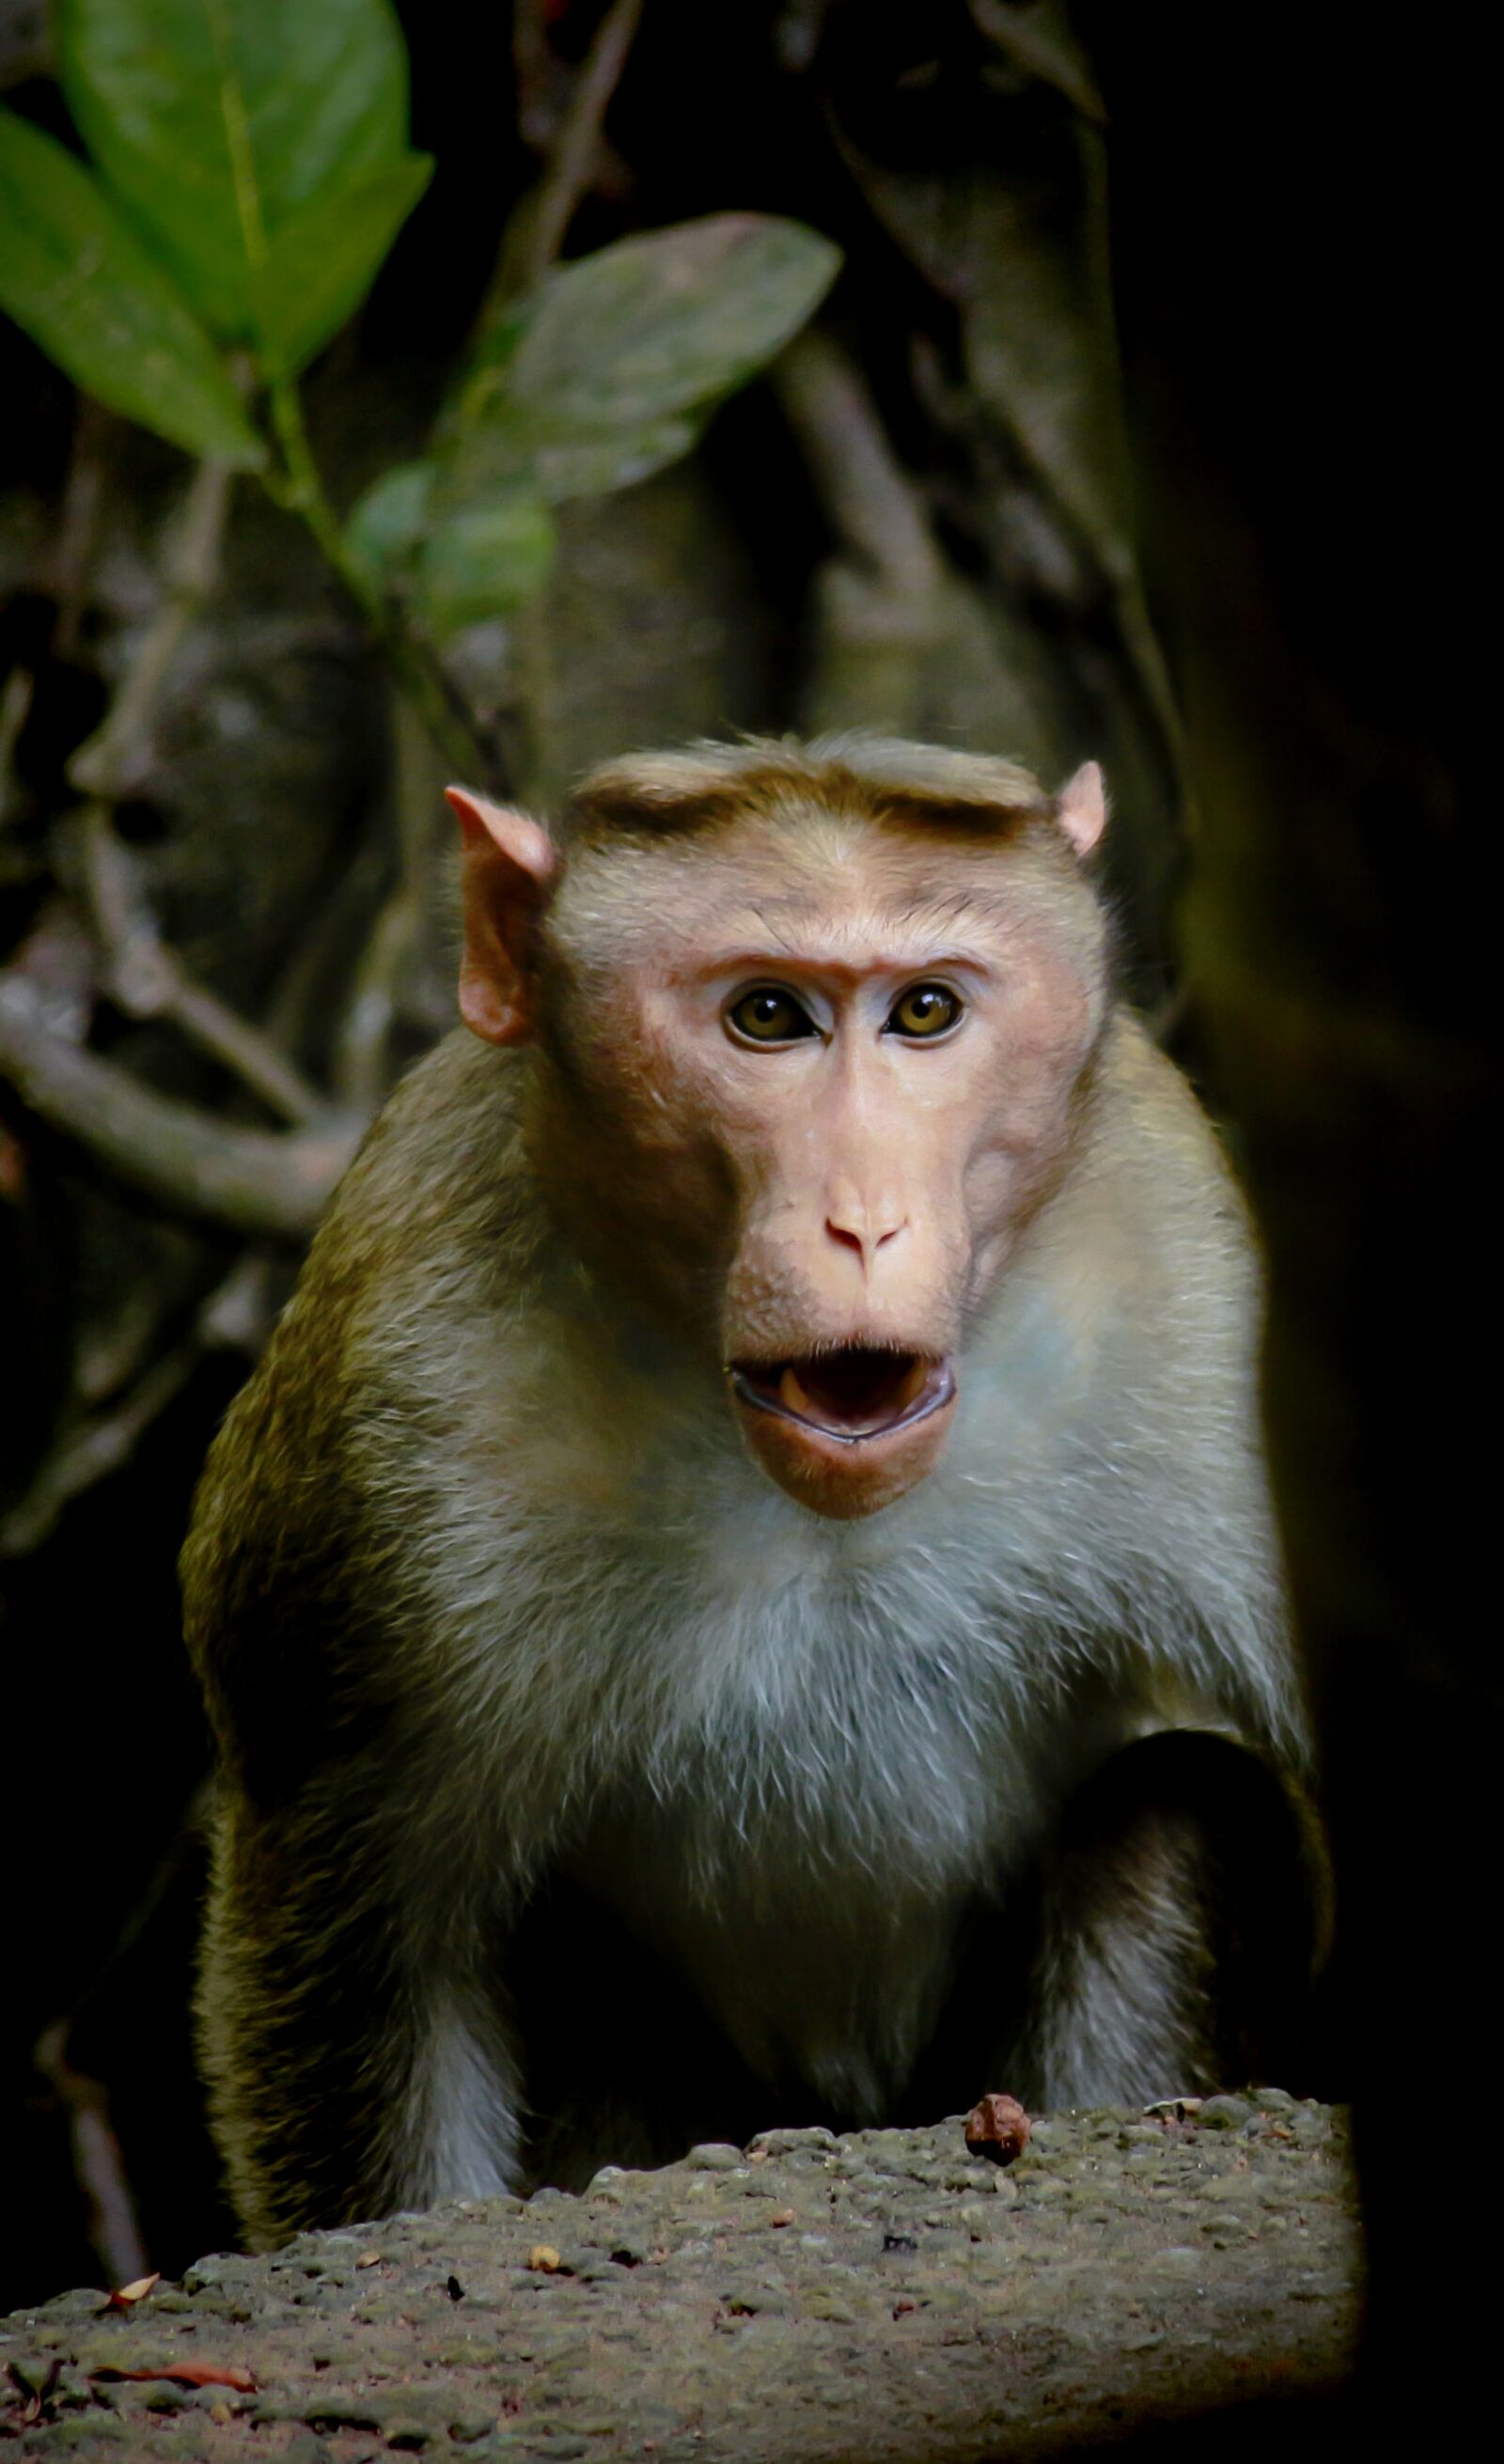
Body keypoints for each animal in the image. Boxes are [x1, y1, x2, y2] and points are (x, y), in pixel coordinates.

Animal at [181, 734, 1320, 2250]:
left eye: (925, 1010)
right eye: (768, 1016)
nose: (864, 1222)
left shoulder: (1202, 1292)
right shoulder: (385, 1437)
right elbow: (370, 1948)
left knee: (1176, 1810)